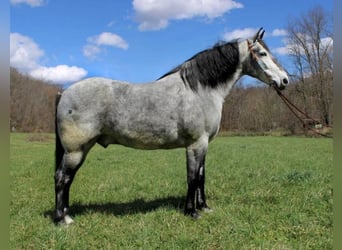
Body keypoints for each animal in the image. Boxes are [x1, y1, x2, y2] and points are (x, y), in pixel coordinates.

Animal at [54, 27, 288, 225]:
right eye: (262, 53)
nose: (285, 80)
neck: (199, 90)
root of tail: (64, 92)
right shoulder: (196, 144)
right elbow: (192, 178)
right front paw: (191, 212)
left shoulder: (204, 145)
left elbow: (201, 176)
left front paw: (204, 207)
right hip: (75, 150)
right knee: (62, 179)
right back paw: (63, 220)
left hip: (80, 149)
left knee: (66, 179)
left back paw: (66, 215)